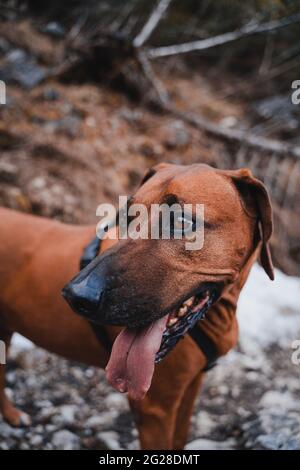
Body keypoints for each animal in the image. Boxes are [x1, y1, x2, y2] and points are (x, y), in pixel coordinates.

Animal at [0, 164, 272, 448]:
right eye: (126, 217)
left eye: (182, 221)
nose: (76, 295)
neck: (219, 313)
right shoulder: (154, 410)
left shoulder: (190, 387)